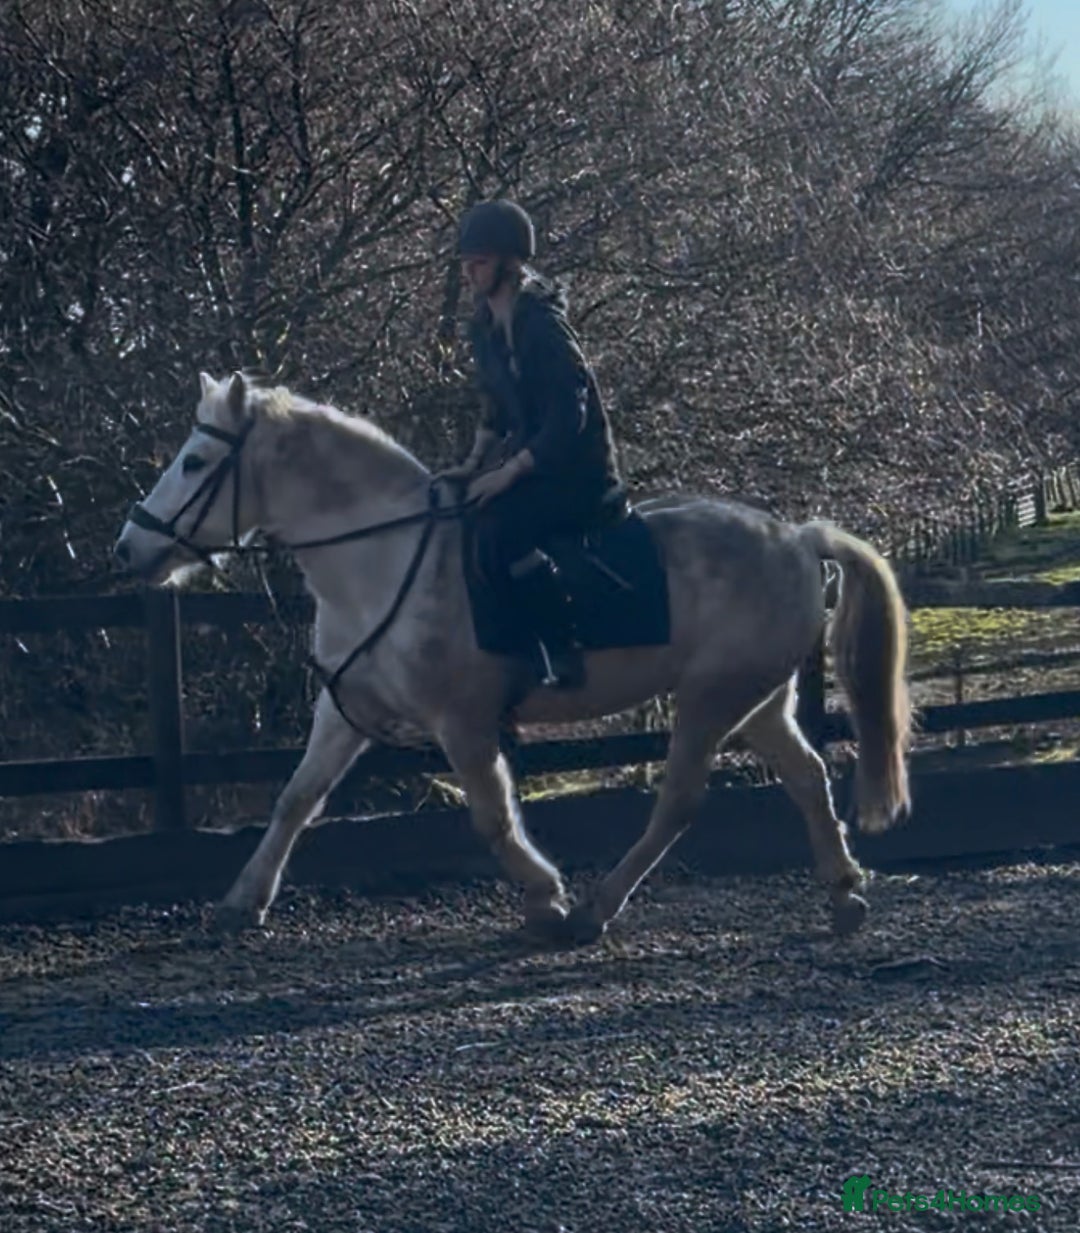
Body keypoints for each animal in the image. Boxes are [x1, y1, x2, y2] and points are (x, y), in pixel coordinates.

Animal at [113, 371, 912, 946]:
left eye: (195, 461)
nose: (129, 546)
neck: (381, 556)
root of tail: (796, 536)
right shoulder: (345, 711)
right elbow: (294, 800)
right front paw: (240, 902)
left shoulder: (461, 720)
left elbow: (493, 816)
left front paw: (544, 896)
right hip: (760, 700)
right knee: (806, 777)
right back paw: (843, 892)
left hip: (713, 698)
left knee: (680, 801)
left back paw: (593, 910)